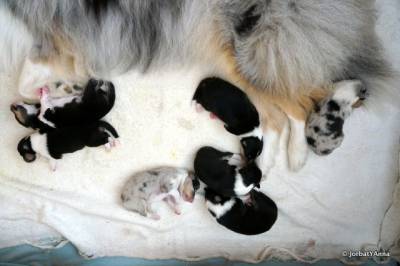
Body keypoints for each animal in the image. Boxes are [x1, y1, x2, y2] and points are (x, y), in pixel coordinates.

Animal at [3, 0, 396, 170]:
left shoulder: (51, 33)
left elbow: (24, 81)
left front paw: (59, 94)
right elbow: (30, 80)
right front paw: (65, 89)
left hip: (250, 49)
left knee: (299, 101)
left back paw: (298, 155)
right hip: (236, 61)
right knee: (281, 110)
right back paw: (264, 162)